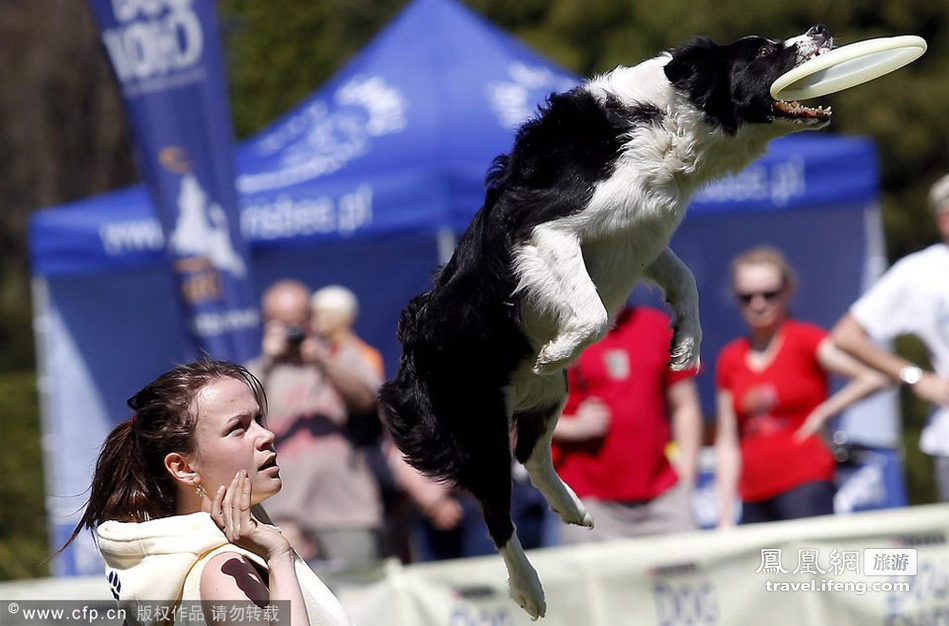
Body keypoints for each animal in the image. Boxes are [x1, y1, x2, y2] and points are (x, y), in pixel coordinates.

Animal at [378, 25, 828, 620]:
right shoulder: (547, 228)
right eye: (760, 51)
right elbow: (591, 313)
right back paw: (530, 588)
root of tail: (412, 345)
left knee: (531, 452)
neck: (666, 123)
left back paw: (573, 506)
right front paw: (560, 346)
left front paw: (685, 345)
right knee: (497, 508)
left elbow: (685, 278)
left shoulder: (642, 233)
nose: (821, 31)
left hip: (550, 396)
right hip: (478, 417)